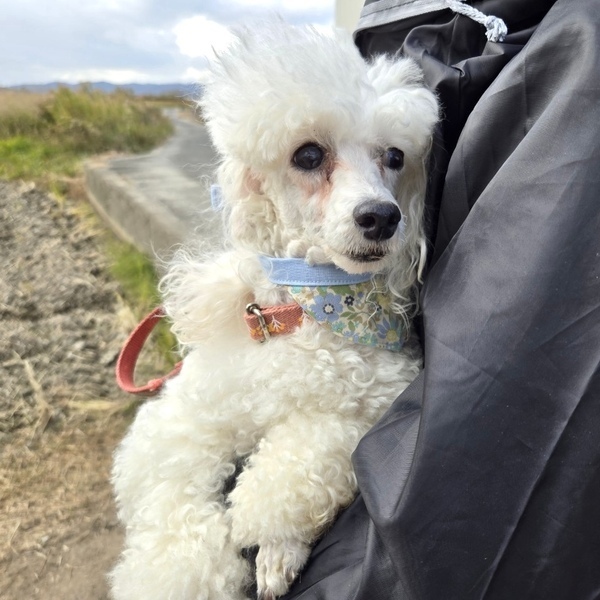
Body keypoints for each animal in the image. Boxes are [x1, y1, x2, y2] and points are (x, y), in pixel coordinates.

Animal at [110, 21, 438, 600]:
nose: (382, 216)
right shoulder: (182, 421)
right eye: (308, 155)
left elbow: (297, 469)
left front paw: (274, 547)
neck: (301, 315)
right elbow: (171, 502)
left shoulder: (367, 409)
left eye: (395, 157)